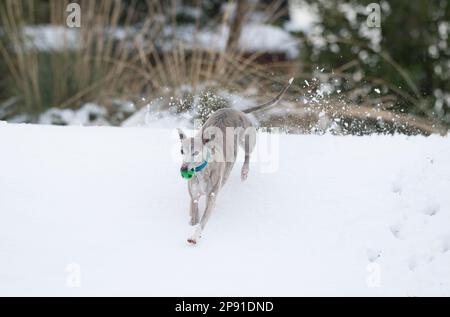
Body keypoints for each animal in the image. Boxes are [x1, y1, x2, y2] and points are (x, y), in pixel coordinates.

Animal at [178, 78, 294, 243]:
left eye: (196, 152)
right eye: (182, 151)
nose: (183, 169)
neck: (202, 172)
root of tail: (237, 110)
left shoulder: (211, 196)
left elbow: (203, 221)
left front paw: (194, 236)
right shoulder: (194, 196)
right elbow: (194, 214)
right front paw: (191, 224)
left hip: (248, 139)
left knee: (247, 155)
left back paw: (244, 171)